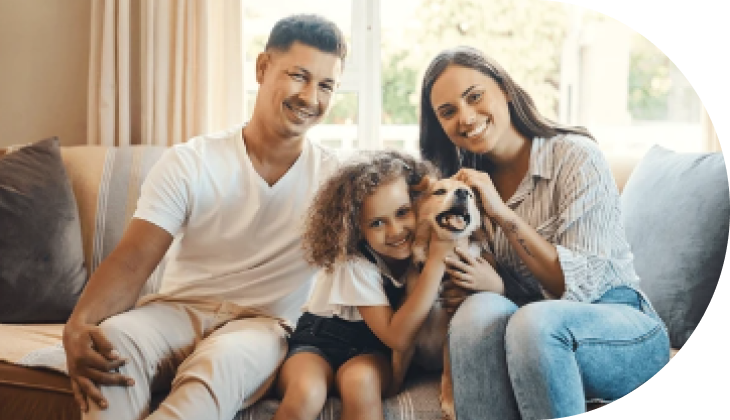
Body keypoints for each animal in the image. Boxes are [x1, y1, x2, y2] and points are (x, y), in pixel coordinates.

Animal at [392, 176, 494, 420]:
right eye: (439, 191)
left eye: (471, 194)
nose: (462, 193)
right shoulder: (404, 348)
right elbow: (396, 378)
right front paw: (389, 394)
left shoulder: (448, 338)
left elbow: (449, 371)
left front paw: (449, 401)